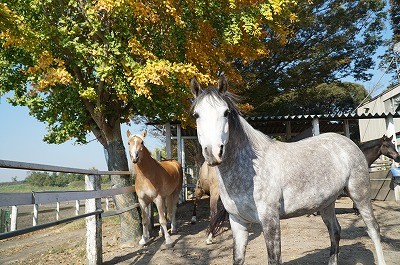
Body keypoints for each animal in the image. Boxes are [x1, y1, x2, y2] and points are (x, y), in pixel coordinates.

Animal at [189, 73, 386, 264]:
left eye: (225, 112)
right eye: (196, 115)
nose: (213, 152)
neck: (250, 170)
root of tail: (348, 142)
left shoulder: (270, 220)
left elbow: (274, 259)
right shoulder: (237, 222)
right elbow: (237, 258)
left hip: (360, 194)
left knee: (373, 229)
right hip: (327, 203)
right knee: (335, 231)